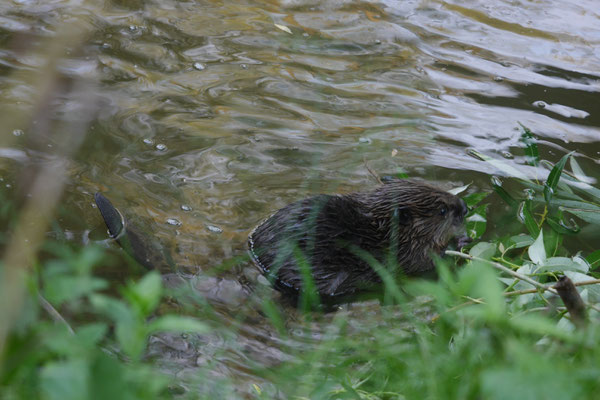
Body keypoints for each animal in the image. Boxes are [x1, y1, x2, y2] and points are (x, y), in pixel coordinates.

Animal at [247, 179, 468, 300]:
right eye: (442, 210)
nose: (465, 207)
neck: (382, 232)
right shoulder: (403, 255)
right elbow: (428, 262)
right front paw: (461, 242)